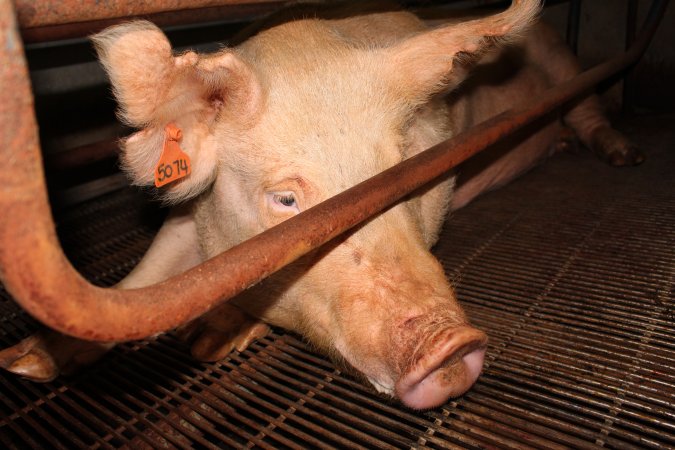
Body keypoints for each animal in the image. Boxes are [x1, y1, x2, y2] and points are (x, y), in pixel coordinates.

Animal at [0, 0, 644, 410]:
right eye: (285, 198)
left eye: (406, 170)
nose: (452, 345)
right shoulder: (189, 217)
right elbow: (144, 282)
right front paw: (24, 363)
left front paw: (206, 343)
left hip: (572, 70)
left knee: (591, 113)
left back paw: (624, 157)